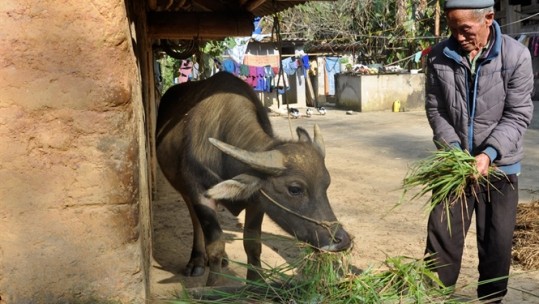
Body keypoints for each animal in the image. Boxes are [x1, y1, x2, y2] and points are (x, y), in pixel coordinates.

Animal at [154, 71, 352, 284]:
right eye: (295, 189)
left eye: (327, 184)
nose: (340, 240)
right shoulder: (199, 192)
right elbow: (215, 245)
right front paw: (213, 285)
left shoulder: (258, 201)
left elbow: (252, 244)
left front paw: (257, 281)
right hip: (183, 190)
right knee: (195, 220)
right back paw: (196, 261)